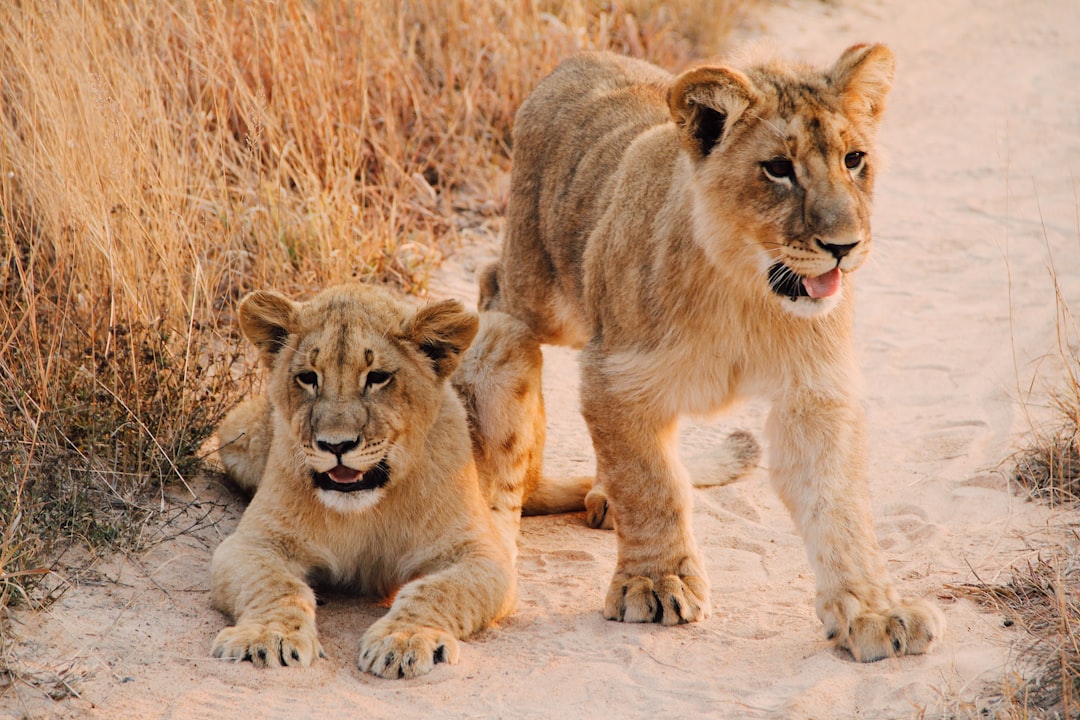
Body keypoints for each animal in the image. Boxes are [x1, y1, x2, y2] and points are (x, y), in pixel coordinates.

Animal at [210, 283, 587, 678]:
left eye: (377, 378)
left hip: (503, 333)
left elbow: (437, 590)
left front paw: (406, 639)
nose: (336, 445)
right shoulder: (253, 543)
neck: (364, 508)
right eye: (308, 377)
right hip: (235, 431)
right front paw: (268, 635)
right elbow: (275, 586)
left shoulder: (478, 554)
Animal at [480, 45, 945, 661]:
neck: (744, 288)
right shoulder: (617, 374)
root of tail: (581, 56)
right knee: (492, 284)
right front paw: (655, 582)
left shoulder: (815, 391)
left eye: (854, 159)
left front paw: (873, 612)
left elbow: (838, 503)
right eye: (778, 168)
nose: (844, 247)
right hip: (539, 291)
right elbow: (650, 483)